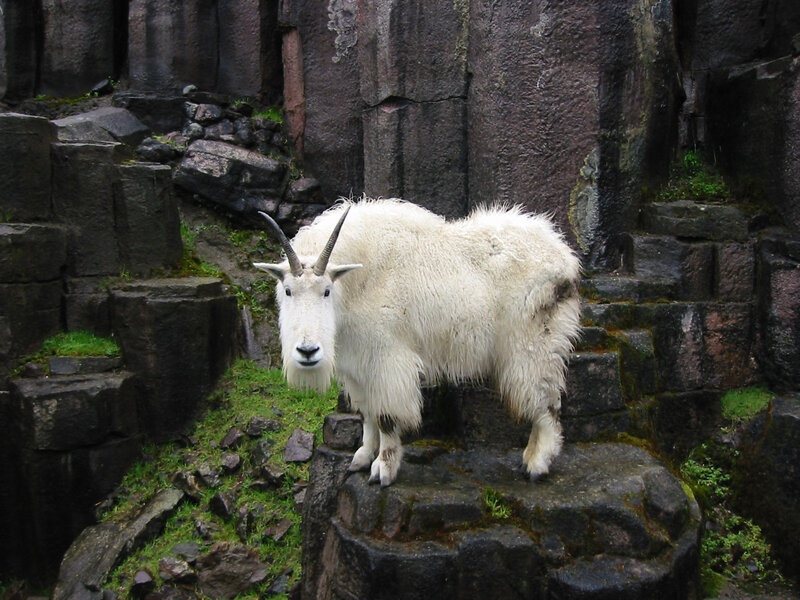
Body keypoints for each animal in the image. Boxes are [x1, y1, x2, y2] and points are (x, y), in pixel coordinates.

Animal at [254, 198, 581, 486]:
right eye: (288, 290)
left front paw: (383, 471)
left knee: (546, 402)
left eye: (325, 291)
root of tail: (565, 260)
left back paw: (537, 464)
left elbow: (386, 416)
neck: (358, 282)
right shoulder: (360, 364)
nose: (307, 352)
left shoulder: (388, 359)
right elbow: (367, 413)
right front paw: (362, 457)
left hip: (533, 344)